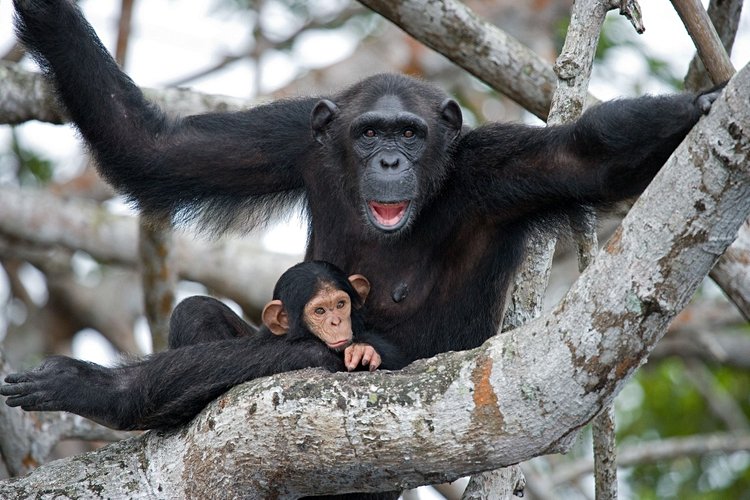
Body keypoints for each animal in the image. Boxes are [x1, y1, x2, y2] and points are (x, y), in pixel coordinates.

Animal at [1, 262, 406, 430]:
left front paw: (84, 386)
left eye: (341, 304)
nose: (337, 321)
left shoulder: (313, 352)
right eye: (320, 310)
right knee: (194, 309)